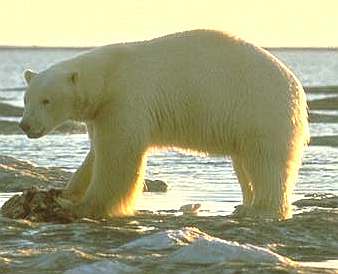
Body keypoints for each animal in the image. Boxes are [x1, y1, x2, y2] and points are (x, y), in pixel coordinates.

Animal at [19, 28, 308, 219]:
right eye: (27, 98)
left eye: (46, 100)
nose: (25, 125)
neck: (108, 76)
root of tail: (297, 88)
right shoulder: (102, 112)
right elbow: (97, 153)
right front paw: (64, 192)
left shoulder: (126, 99)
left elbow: (118, 157)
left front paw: (83, 206)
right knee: (244, 164)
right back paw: (245, 204)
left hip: (260, 110)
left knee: (265, 162)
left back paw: (262, 208)